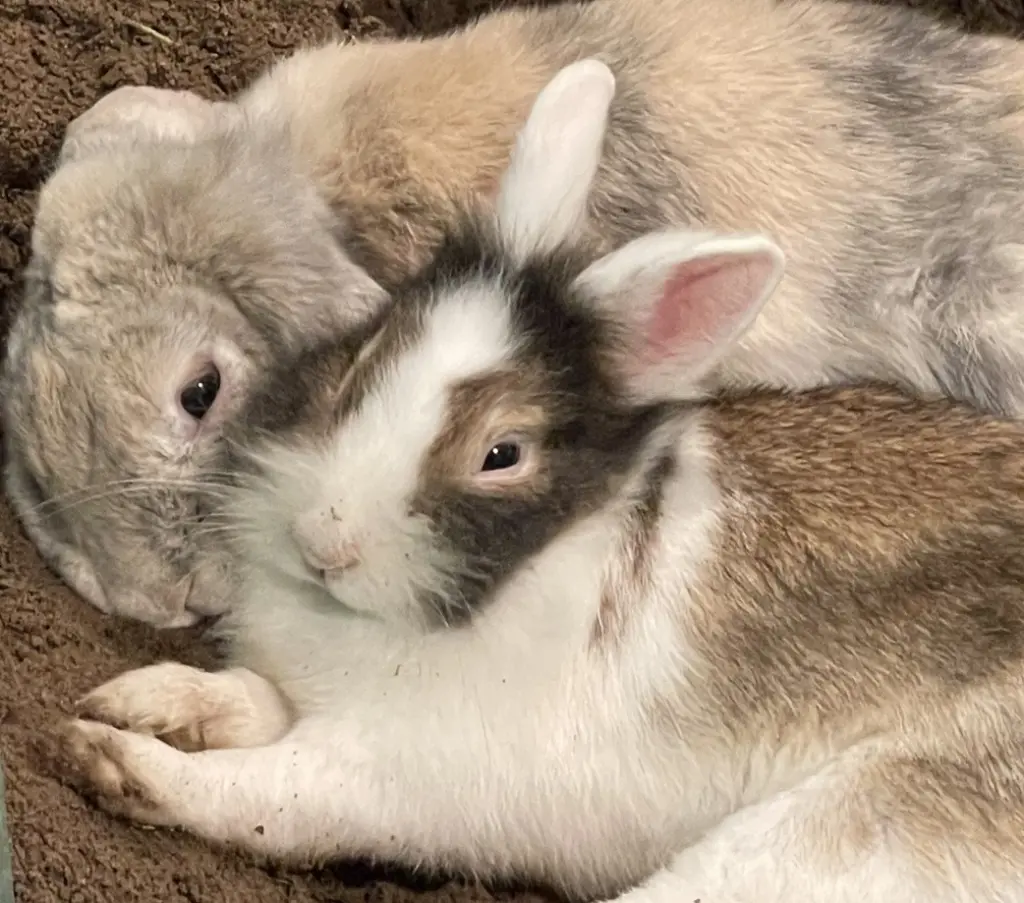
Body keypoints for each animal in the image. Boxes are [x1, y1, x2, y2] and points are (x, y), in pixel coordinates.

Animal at [51, 61, 1024, 903]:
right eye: (367, 355)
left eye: (503, 454)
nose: (324, 540)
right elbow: (250, 698)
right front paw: (147, 698)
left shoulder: (383, 771)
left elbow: (261, 794)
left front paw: (104, 753)